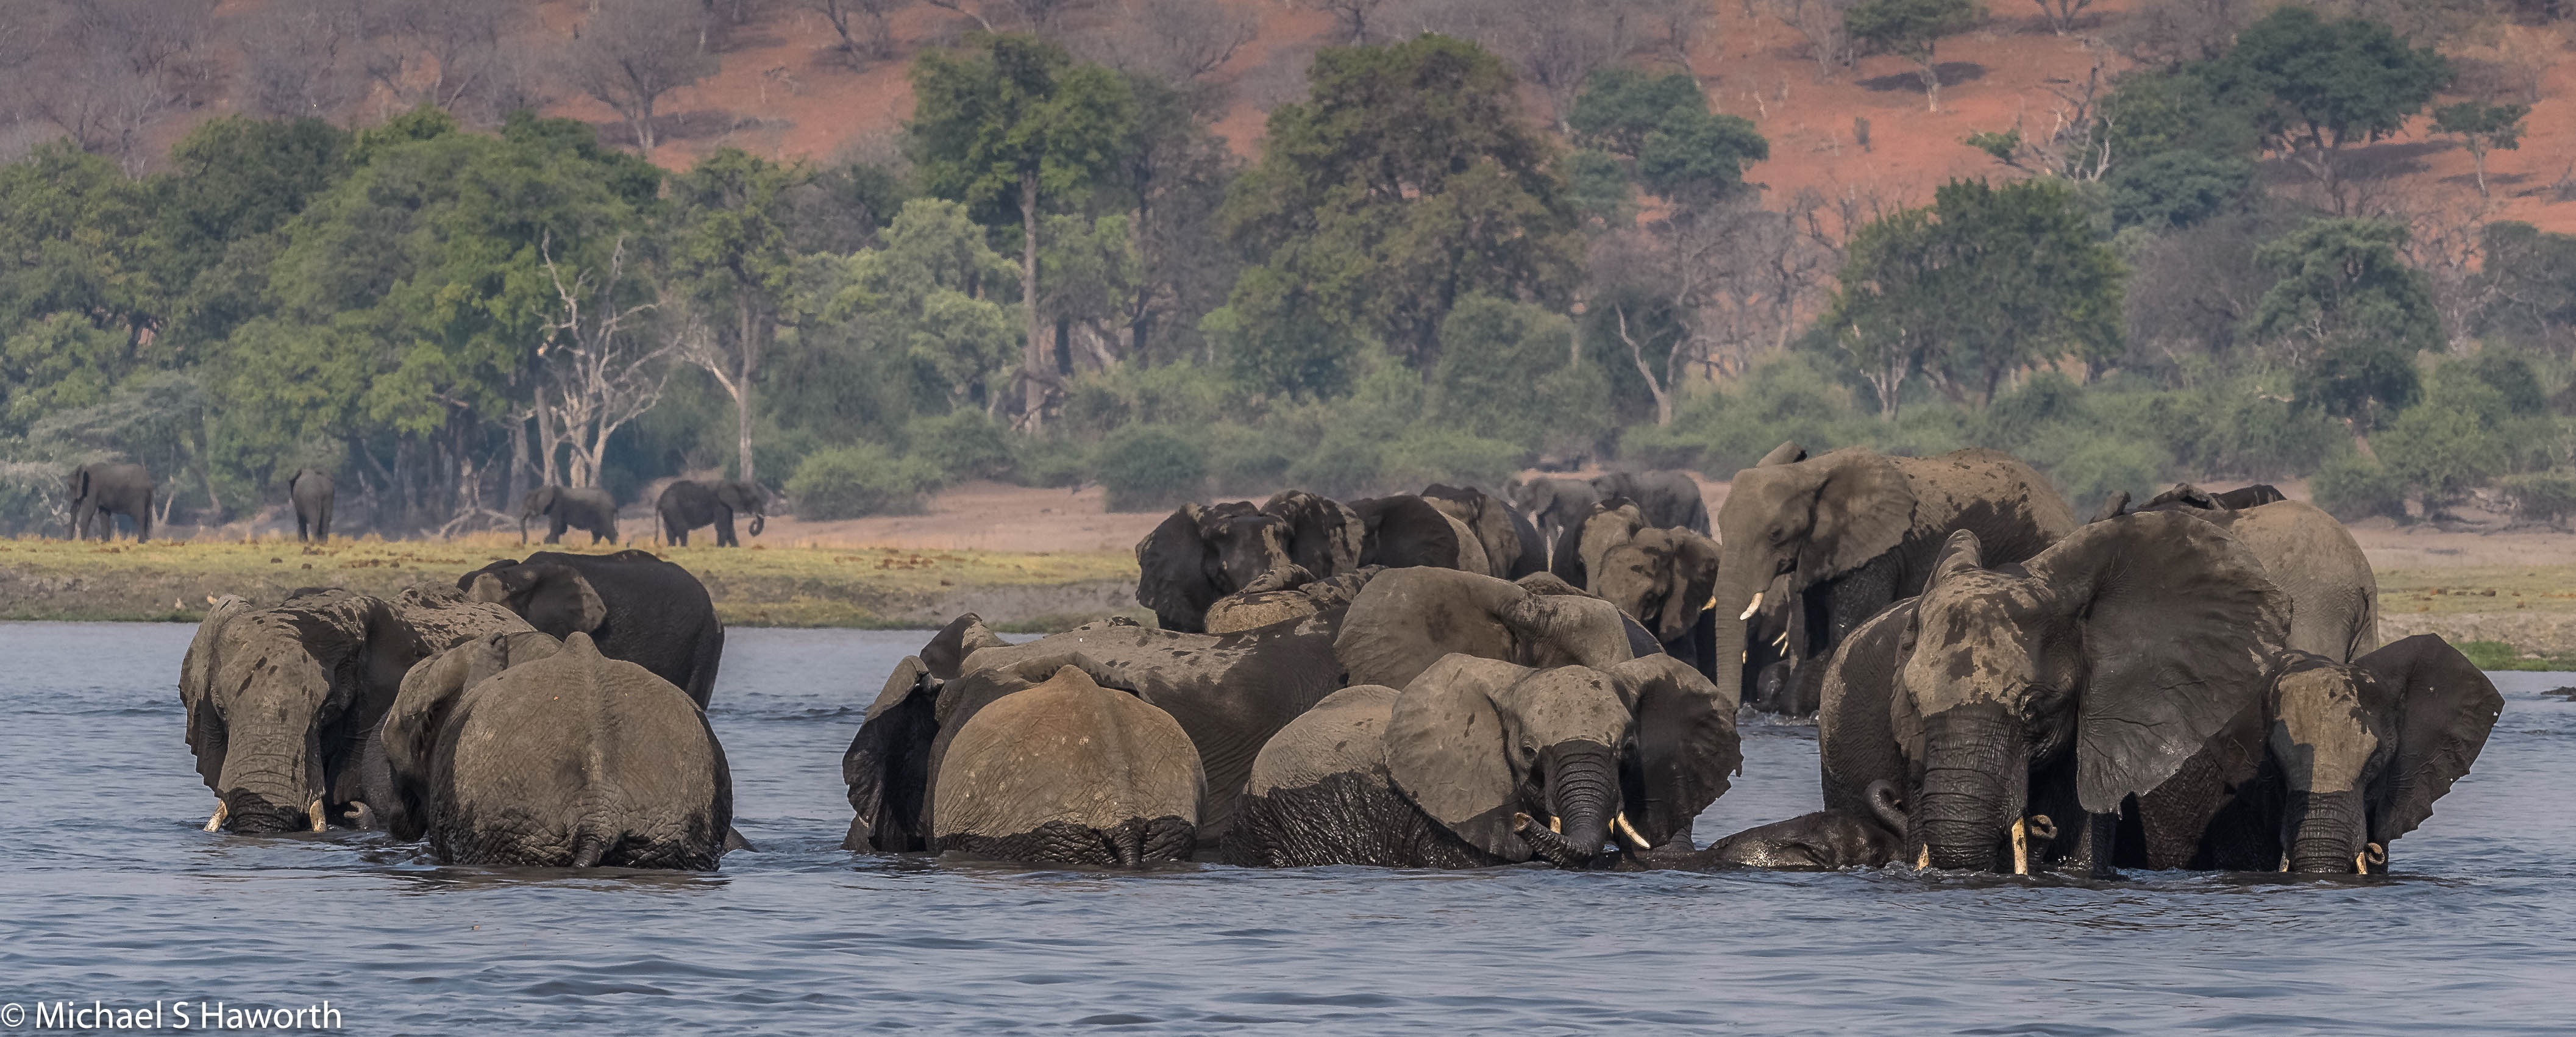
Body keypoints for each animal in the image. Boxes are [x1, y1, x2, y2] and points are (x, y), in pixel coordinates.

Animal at [68, 462, 153, 542]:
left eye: (71, 486)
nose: (70, 541)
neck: (86, 469)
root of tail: (149, 482)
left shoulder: (93, 488)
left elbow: (89, 511)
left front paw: (83, 542)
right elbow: (104, 513)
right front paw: (105, 542)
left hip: (139, 496)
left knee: (140, 517)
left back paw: (141, 542)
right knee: (146, 516)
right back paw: (146, 540)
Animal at [518, 485, 619, 545]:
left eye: (528, 505)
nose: (524, 544)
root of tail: (614, 503)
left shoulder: (557, 506)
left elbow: (557, 525)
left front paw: (550, 544)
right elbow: (562, 528)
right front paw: (549, 542)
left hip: (604, 513)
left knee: (607, 530)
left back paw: (612, 546)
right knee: (597, 532)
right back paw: (594, 546)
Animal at [659, 479, 765, 547]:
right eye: (753, 499)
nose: (754, 520)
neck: (735, 483)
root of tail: (661, 498)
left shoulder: (727, 506)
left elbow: (730, 527)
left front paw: (736, 548)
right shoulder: (720, 505)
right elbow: (722, 527)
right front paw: (720, 548)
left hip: (669, 511)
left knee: (670, 533)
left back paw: (672, 547)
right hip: (673, 508)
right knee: (682, 529)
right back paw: (683, 547)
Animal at [1713, 444, 2080, 716]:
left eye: (1776, 534)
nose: (1735, 712)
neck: (1810, 473)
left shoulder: (1877, 552)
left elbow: (1846, 631)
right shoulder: (1823, 554)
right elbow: (1815, 638)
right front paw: (1799, 711)